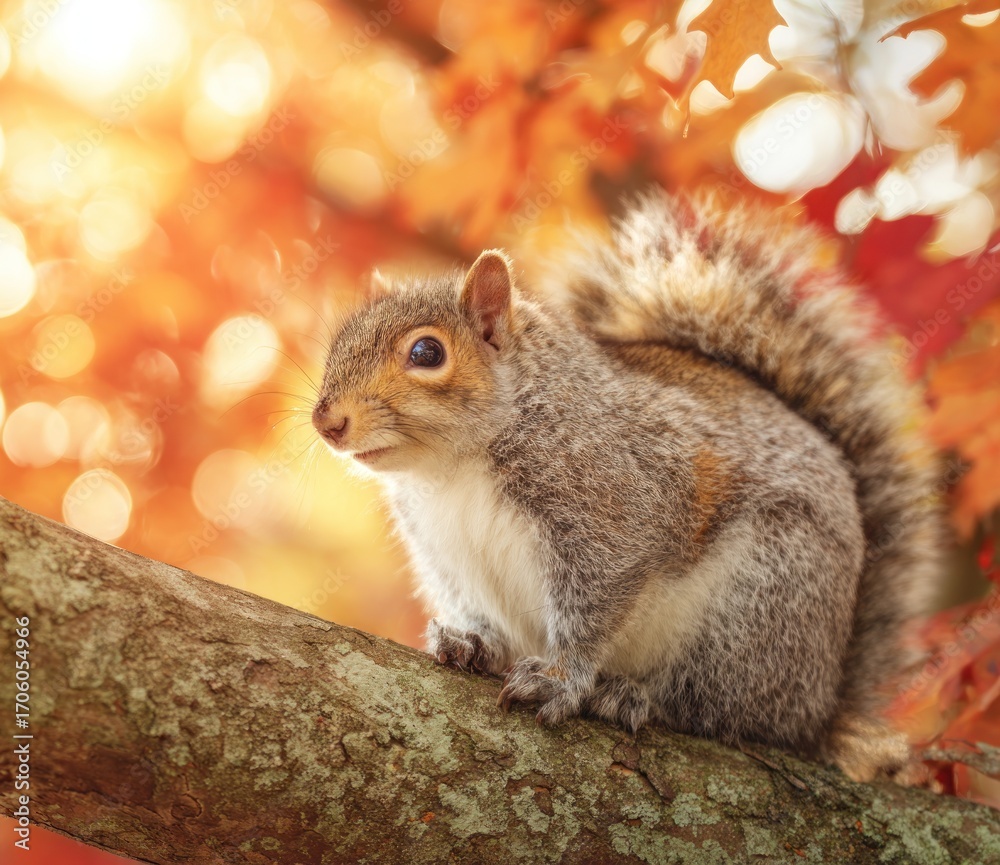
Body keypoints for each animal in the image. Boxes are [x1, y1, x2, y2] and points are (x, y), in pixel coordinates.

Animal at [312, 193, 945, 782]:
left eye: (427, 352)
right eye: (337, 342)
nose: (327, 422)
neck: (451, 468)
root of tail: (821, 707)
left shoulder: (612, 504)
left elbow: (597, 599)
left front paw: (561, 679)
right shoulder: (444, 550)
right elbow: (472, 603)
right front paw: (470, 641)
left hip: (760, 603)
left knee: (719, 707)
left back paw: (632, 695)